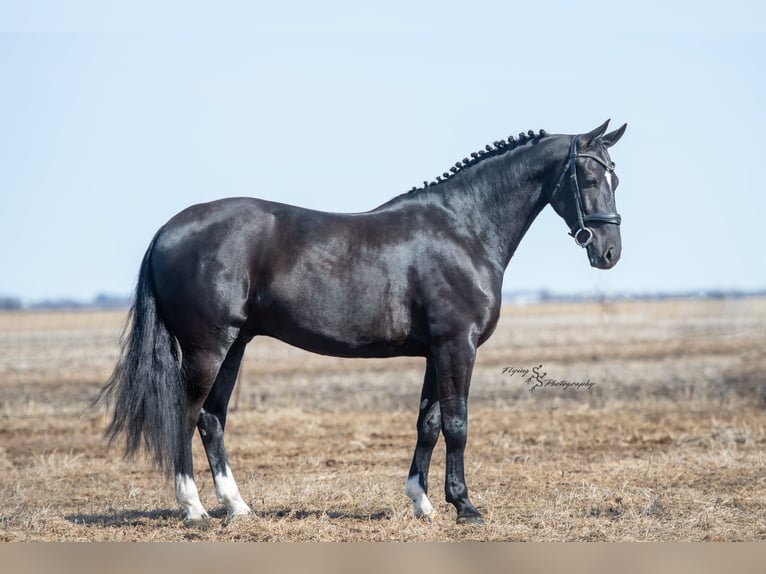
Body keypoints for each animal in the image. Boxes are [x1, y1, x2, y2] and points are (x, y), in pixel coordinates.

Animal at [97, 119, 627, 525]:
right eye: (587, 175)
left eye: (615, 178)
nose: (608, 253)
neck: (464, 229)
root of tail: (167, 230)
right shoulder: (458, 345)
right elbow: (456, 423)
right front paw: (465, 506)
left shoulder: (436, 351)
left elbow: (429, 423)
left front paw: (423, 503)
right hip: (208, 347)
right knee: (186, 415)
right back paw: (194, 509)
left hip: (235, 345)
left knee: (211, 419)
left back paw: (238, 507)